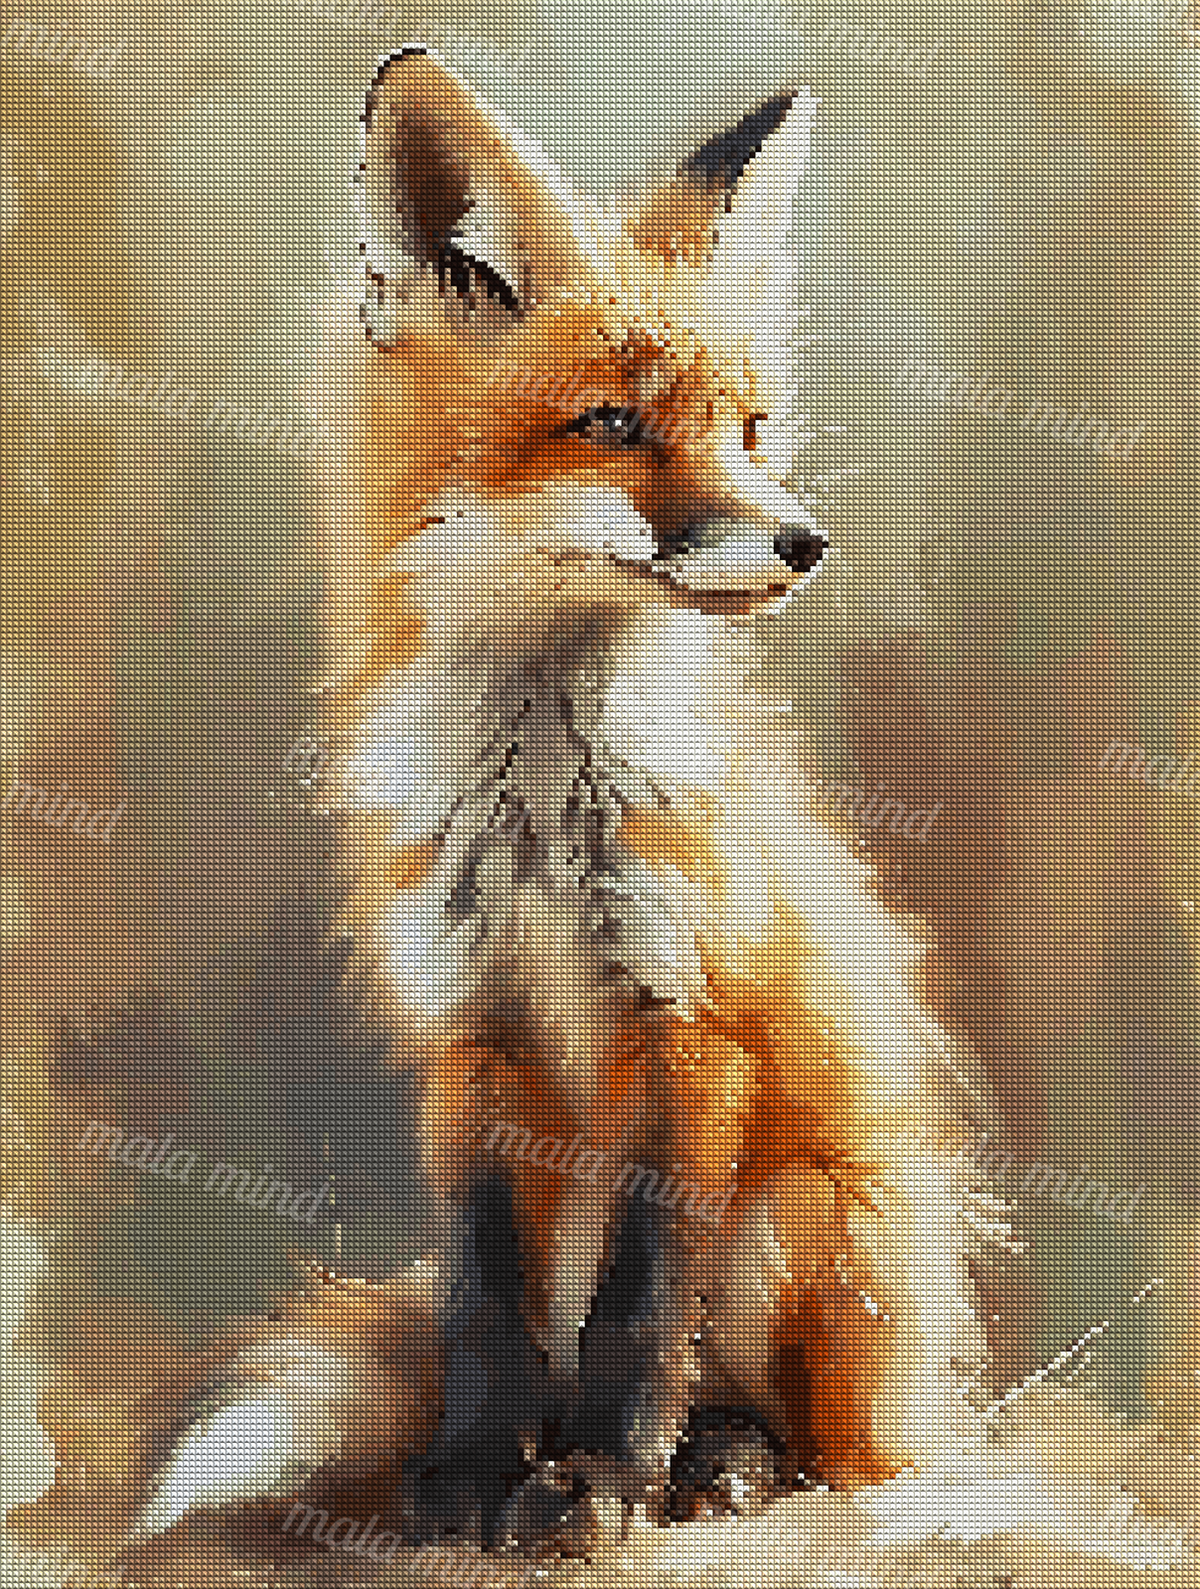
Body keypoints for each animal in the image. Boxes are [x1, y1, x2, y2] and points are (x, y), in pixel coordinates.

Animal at [113, 47, 997, 1576]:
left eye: (751, 426)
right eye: (614, 424)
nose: (807, 540)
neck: (538, 825)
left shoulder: (688, 1023)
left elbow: (640, 1309)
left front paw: (600, 1484)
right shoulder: (474, 1037)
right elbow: (489, 1305)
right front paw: (474, 1475)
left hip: (806, 1212)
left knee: (823, 1445)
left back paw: (722, 1467)